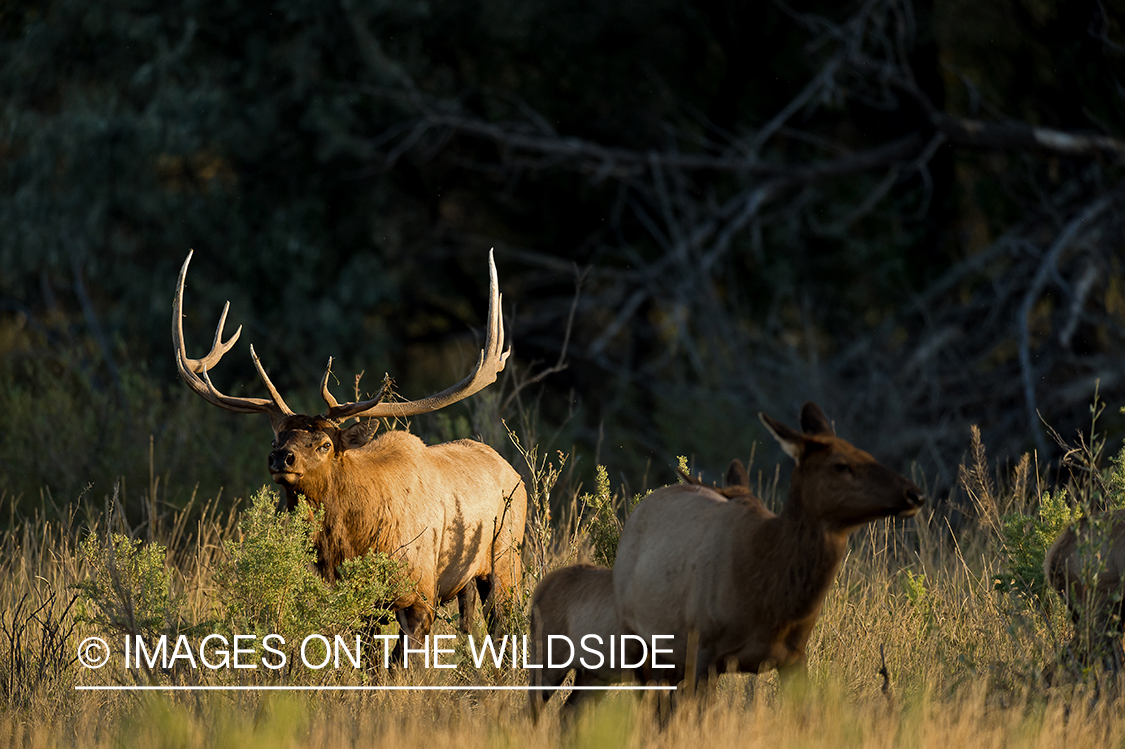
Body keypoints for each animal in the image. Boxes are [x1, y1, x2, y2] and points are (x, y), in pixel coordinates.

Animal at [172, 247, 531, 652]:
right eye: (275, 439)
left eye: (326, 444)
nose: (281, 459)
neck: (354, 542)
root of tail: (515, 473)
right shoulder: (360, 603)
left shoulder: (421, 593)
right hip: (468, 579)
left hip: (506, 559)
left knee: (502, 624)